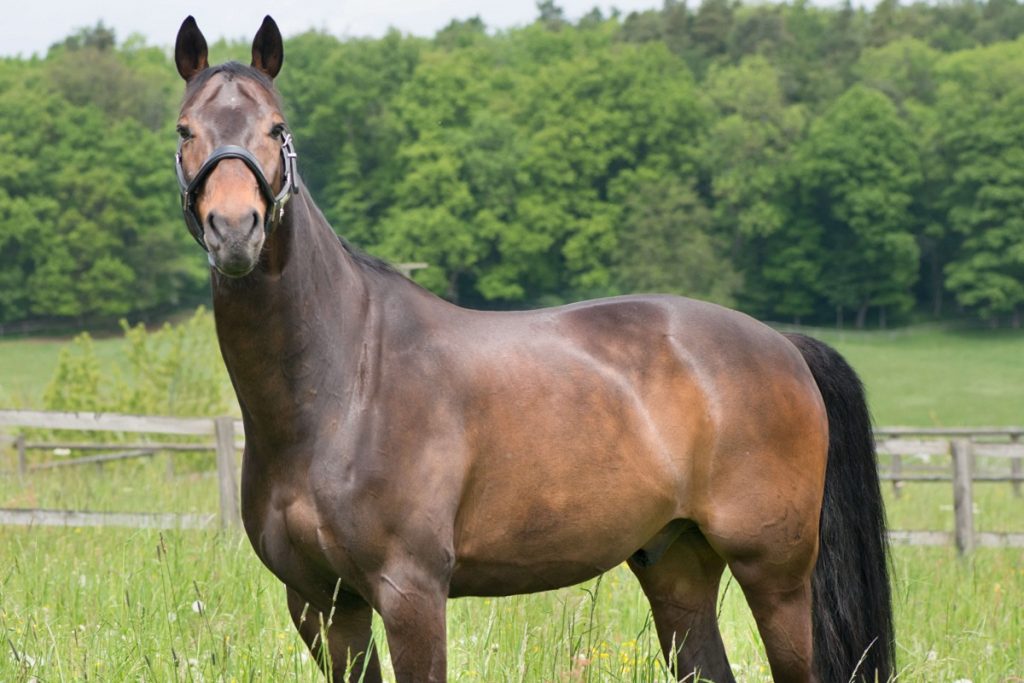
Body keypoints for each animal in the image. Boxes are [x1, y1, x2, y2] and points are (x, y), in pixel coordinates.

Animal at [172, 15, 892, 683]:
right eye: (184, 130)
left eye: (276, 128)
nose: (235, 230)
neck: (343, 385)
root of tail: (783, 346)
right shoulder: (321, 604)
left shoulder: (411, 592)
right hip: (678, 569)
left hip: (775, 576)